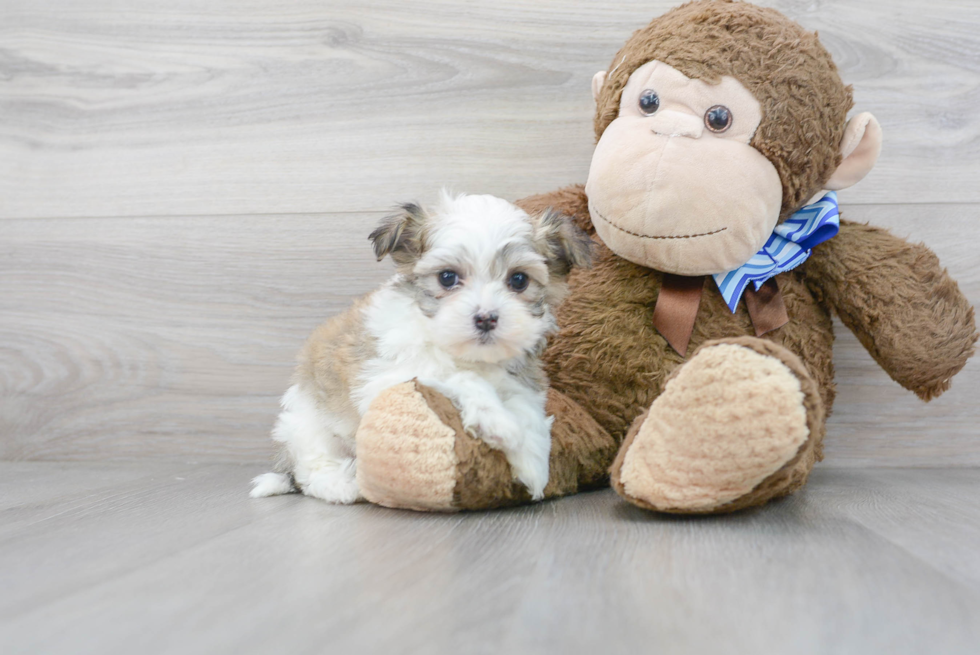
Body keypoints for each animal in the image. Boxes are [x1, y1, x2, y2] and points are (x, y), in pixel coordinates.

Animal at [251, 192, 588, 504]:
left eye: (519, 280)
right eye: (447, 277)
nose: (486, 318)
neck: (465, 354)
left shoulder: (519, 379)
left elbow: (526, 408)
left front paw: (533, 463)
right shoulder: (384, 378)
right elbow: (456, 377)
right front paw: (497, 420)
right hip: (307, 426)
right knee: (314, 467)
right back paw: (343, 485)